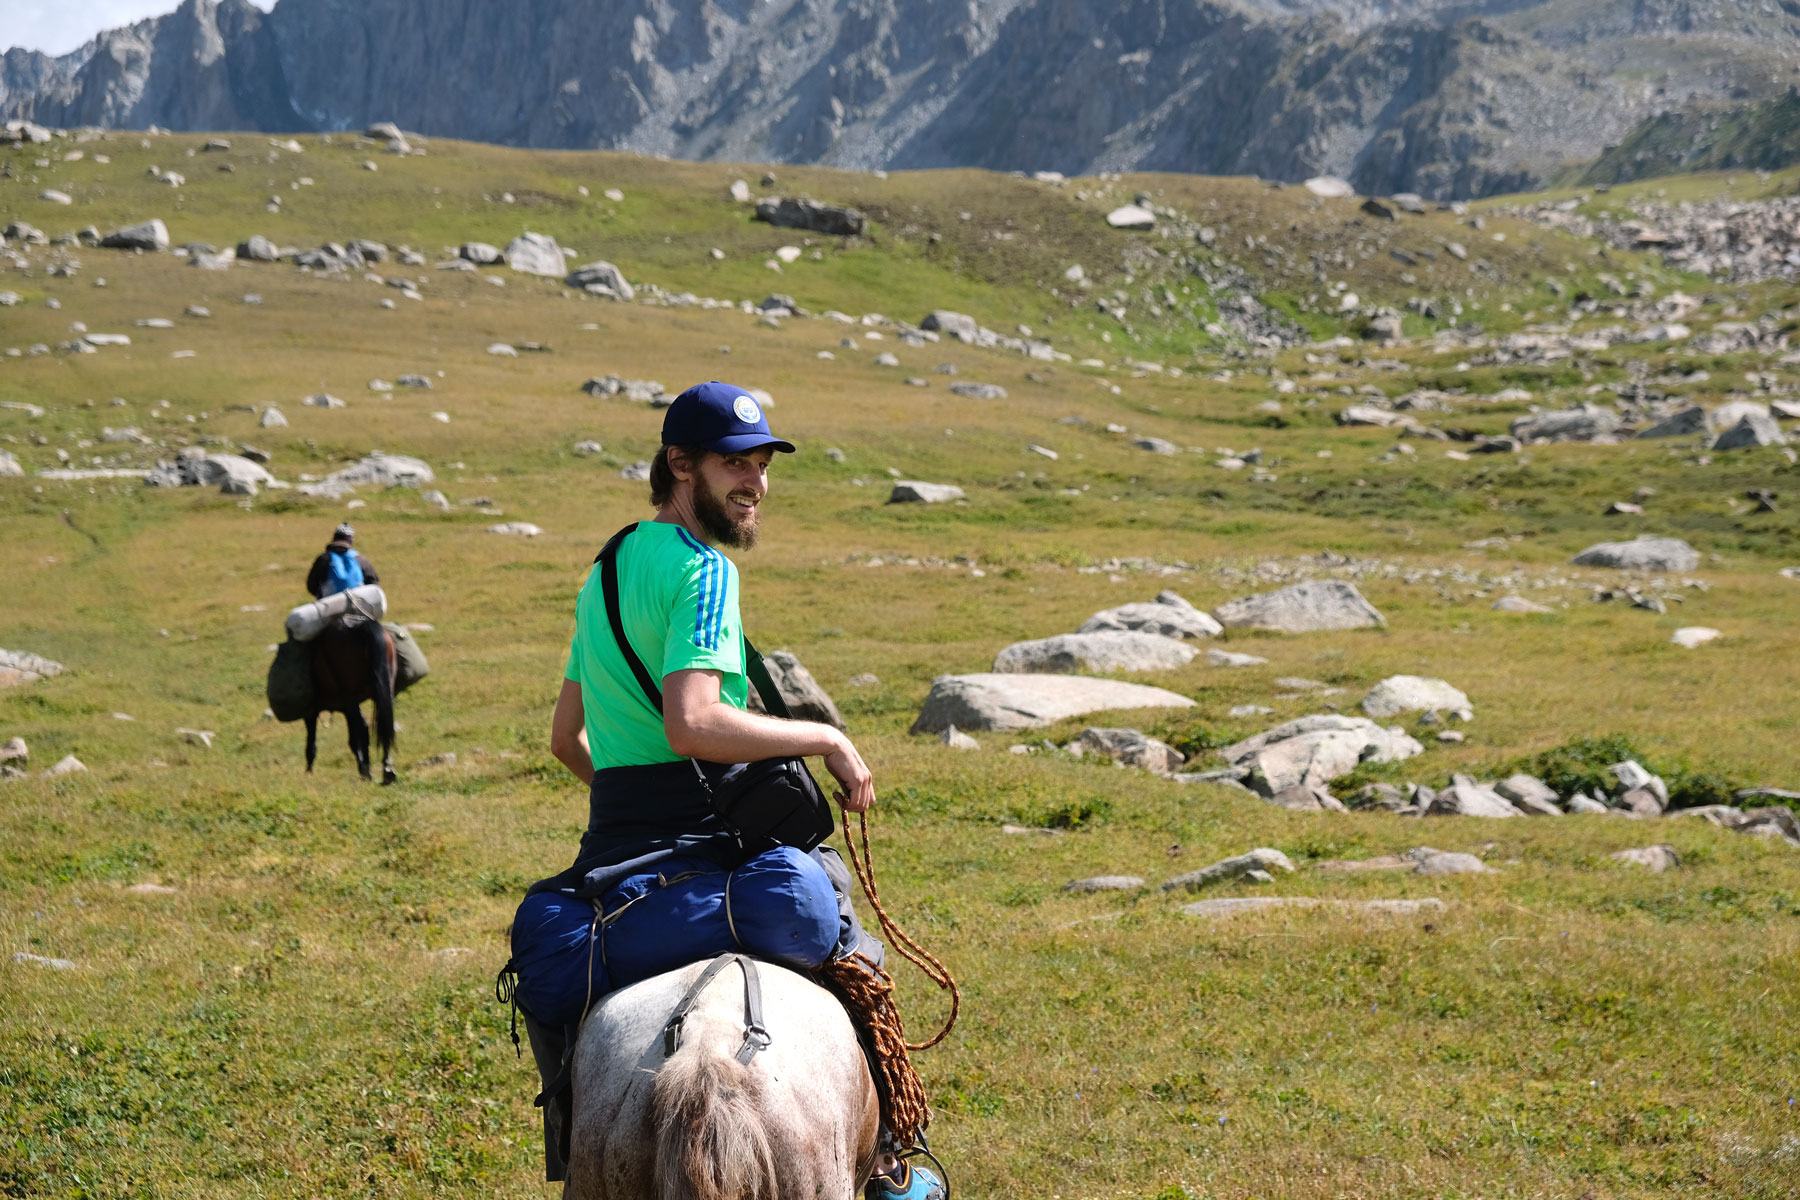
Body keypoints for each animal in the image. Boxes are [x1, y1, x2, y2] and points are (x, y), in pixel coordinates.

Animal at [302, 626, 397, 784]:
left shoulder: (313, 711)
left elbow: (312, 741)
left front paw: (309, 772)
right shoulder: (346, 708)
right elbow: (353, 738)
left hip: (350, 695)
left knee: (364, 727)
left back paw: (369, 771)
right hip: (384, 688)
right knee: (383, 724)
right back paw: (386, 769)